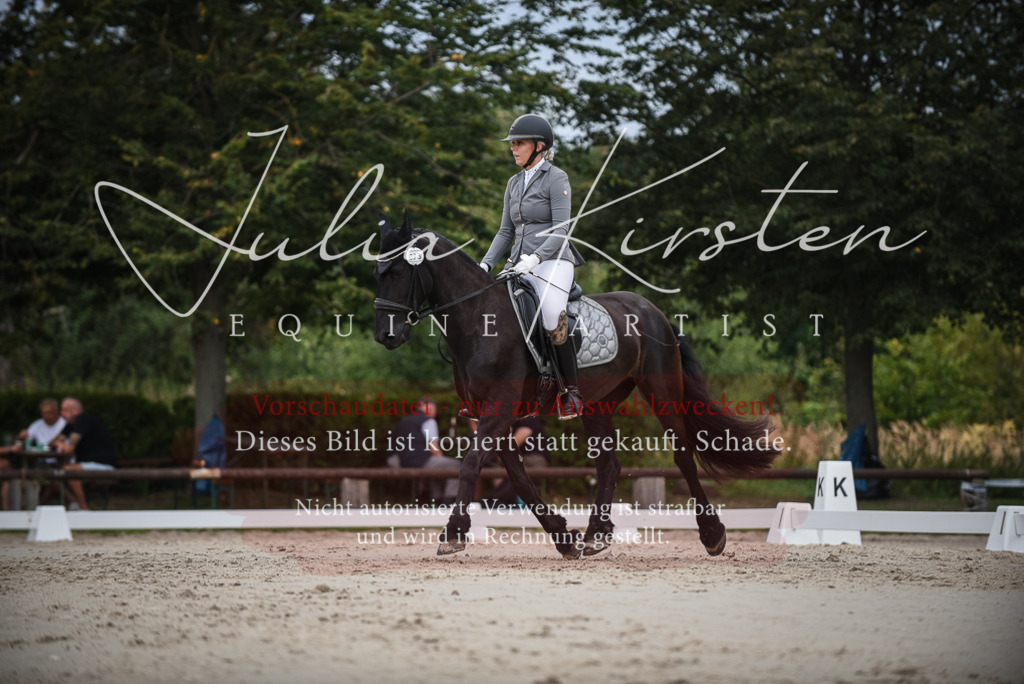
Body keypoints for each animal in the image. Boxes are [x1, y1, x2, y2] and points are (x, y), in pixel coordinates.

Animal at [372, 212, 780, 559]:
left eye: (398, 270)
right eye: (377, 270)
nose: (384, 336)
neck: (480, 320)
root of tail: (654, 311)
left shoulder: (499, 409)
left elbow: (471, 464)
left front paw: (454, 533)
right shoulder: (491, 415)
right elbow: (519, 479)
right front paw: (564, 537)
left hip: (661, 392)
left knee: (682, 456)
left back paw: (713, 534)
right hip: (597, 403)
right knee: (609, 465)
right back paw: (596, 535)